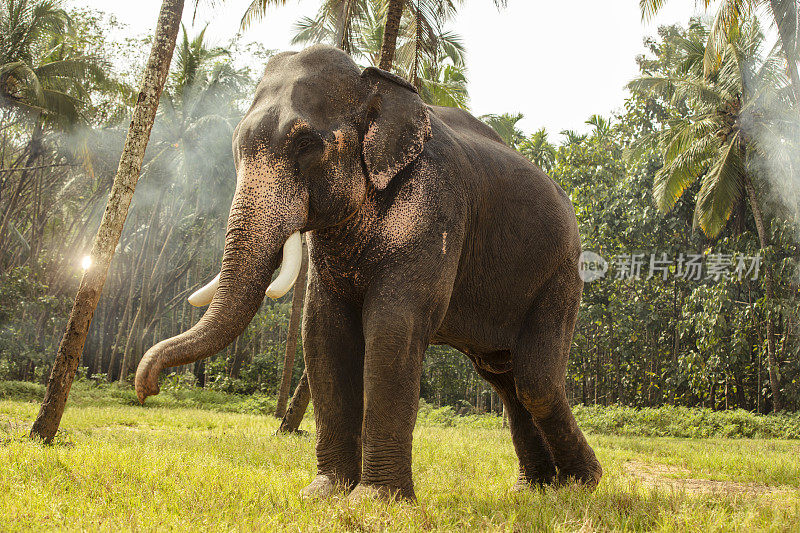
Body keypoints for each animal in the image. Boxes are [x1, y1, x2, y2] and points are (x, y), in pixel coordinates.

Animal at [136, 42, 600, 498]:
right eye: (236, 146)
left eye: (306, 144)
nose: (146, 387)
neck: (373, 83)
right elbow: (322, 330)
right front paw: (324, 492)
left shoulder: (436, 206)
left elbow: (394, 326)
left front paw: (375, 501)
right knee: (503, 378)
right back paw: (534, 489)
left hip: (562, 275)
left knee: (535, 382)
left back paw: (581, 485)